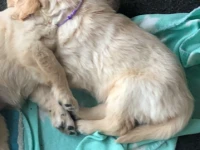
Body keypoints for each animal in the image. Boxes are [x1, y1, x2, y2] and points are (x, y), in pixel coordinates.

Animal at [9, 0, 194, 144]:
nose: (8, 7)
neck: (71, 13)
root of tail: (187, 102)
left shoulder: (76, 69)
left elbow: (55, 70)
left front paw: (62, 94)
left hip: (129, 87)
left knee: (119, 124)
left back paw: (85, 124)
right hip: (118, 93)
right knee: (106, 109)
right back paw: (80, 111)